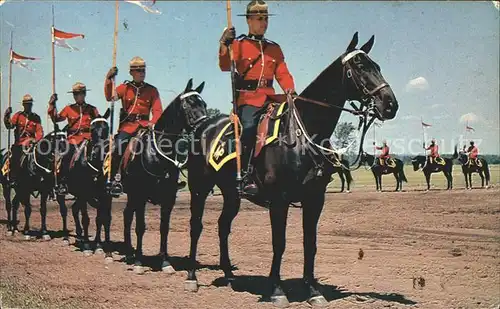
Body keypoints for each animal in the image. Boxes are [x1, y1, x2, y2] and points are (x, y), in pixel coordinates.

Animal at [62, 109, 114, 256]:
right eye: (92, 129)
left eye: (107, 128)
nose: (99, 152)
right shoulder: (84, 194)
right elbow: (86, 219)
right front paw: (87, 246)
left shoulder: (104, 195)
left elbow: (101, 219)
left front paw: (100, 246)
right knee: (64, 211)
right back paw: (67, 237)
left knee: (74, 209)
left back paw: (79, 235)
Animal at [117, 79, 207, 272]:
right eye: (188, 104)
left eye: (204, 104)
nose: (203, 126)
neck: (158, 152)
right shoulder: (141, 195)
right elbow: (141, 227)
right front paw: (139, 262)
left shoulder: (168, 198)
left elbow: (164, 228)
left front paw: (165, 261)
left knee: (127, 215)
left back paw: (129, 251)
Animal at [184, 31, 398, 306]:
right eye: (360, 66)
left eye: (377, 66)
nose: (390, 104)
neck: (302, 134)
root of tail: (202, 126)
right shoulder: (279, 200)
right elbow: (280, 243)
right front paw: (277, 290)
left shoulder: (315, 199)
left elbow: (310, 243)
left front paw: (313, 290)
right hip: (199, 187)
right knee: (196, 225)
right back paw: (192, 277)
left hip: (231, 193)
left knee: (223, 226)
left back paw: (229, 275)